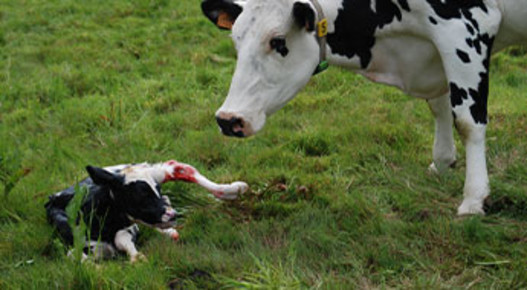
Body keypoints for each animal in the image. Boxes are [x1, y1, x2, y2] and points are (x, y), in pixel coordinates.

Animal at [202, 0, 527, 215]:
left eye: (278, 41)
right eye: (236, 41)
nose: (228, 119)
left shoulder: (464, 28)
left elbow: (468, 121)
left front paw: (474, 199)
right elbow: (439, 105)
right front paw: (443, 161)